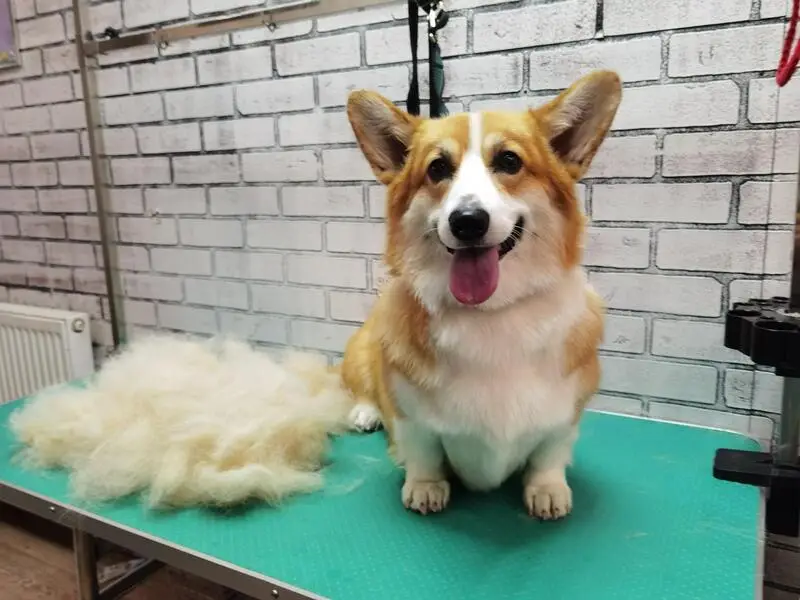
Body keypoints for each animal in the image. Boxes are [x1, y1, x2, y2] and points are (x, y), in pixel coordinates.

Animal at [340, 70, 622, 519]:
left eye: (509, 161)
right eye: (438, 168)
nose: (467, 221)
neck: (491, 314)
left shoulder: (565, 415)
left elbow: (550, 452)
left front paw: (547, 489)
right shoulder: (410, 416)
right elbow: (422, 450)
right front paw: (425, 487)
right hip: (364, 346)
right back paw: (366, 411)